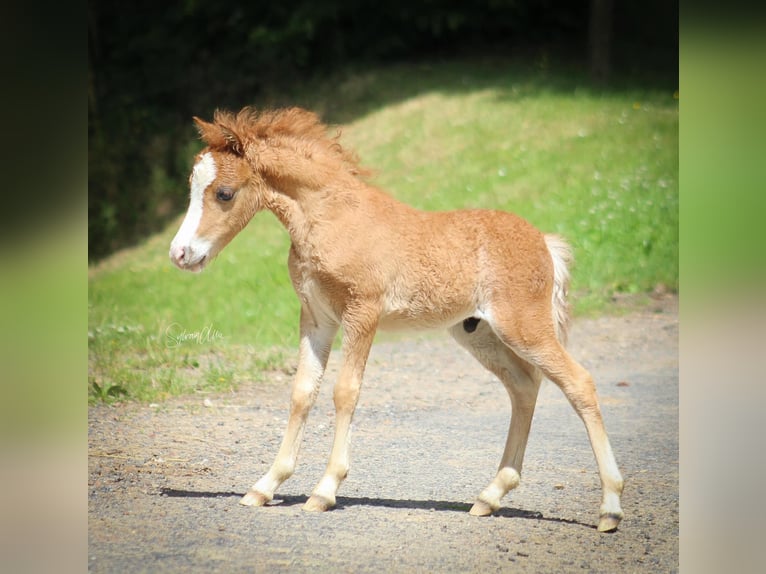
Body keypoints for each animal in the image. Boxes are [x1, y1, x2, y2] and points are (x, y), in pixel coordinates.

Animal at [170, 109, 624, 536]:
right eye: (192, 187)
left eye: (224, 193)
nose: (180, 254)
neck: (332, 219)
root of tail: (544, 242)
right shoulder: (316, 317)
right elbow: (302, 392)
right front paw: (264, 486)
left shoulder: (363, 313)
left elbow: (345, 392)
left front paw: (324, 490)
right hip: (479, 334)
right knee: (524, 388)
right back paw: (489, 496)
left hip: (523, 327)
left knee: (578, 383)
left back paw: (610, 509)